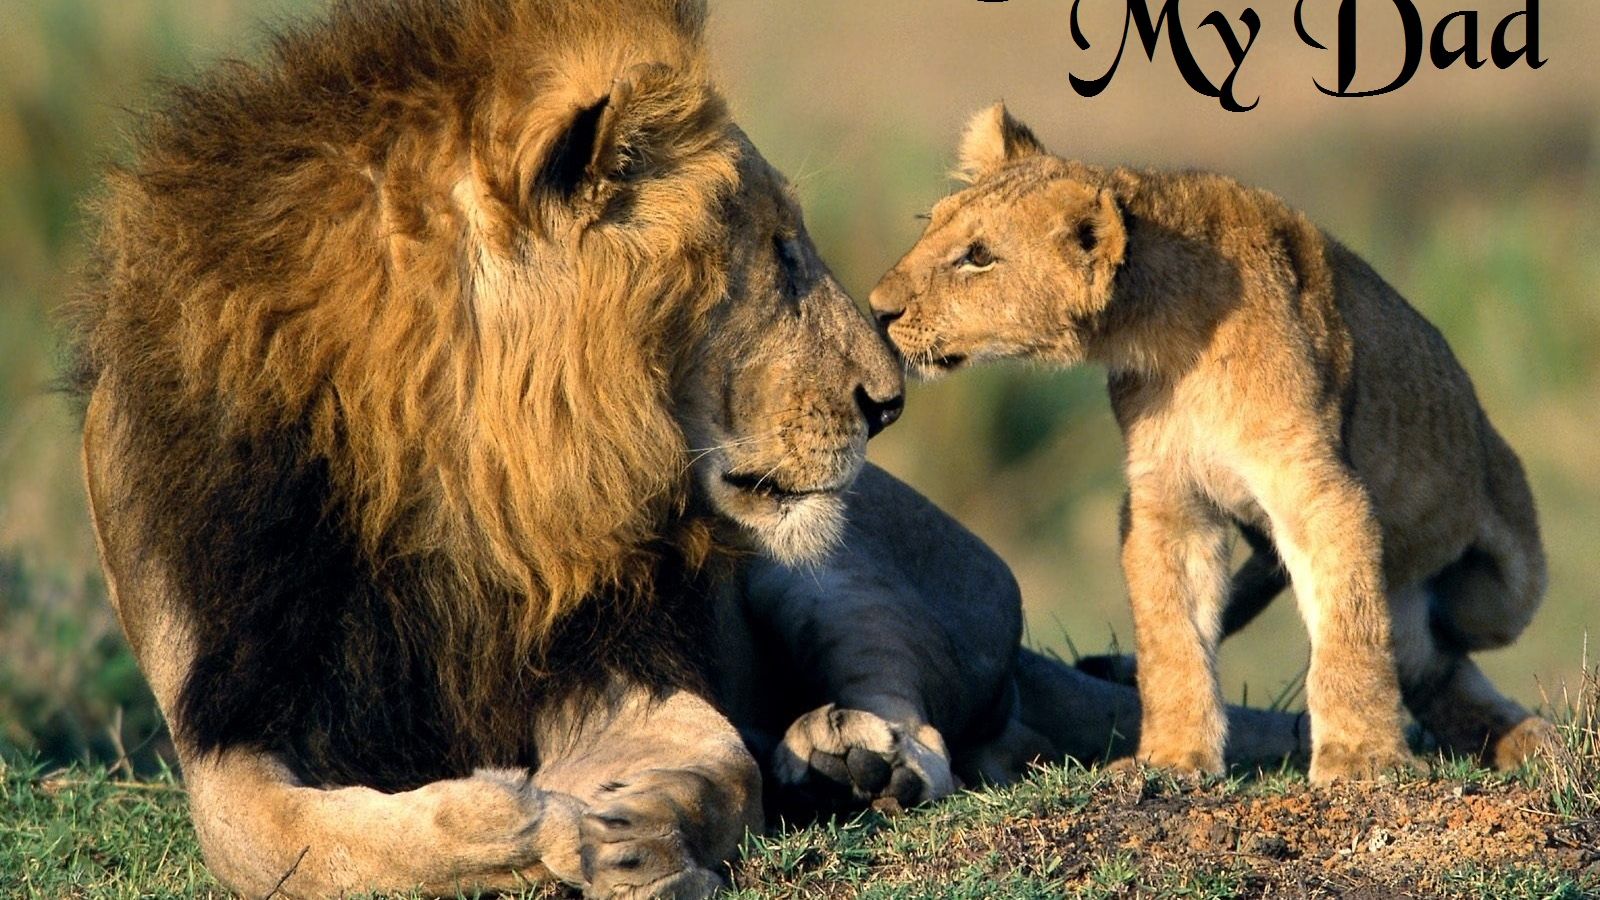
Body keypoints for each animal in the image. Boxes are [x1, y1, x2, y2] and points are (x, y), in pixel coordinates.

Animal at [868, 103, 1556, 784]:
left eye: (978, 257)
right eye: (931, 228)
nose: (877, 309)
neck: (1167, 338)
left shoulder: (1320, 489)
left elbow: (1350, 628)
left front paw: (1360, 756)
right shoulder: (1168, 501)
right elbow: (1173, 638)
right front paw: (1173, 757)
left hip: (1503, 590)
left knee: (1440, 647)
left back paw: (1529, 737)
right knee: (1425, 664)